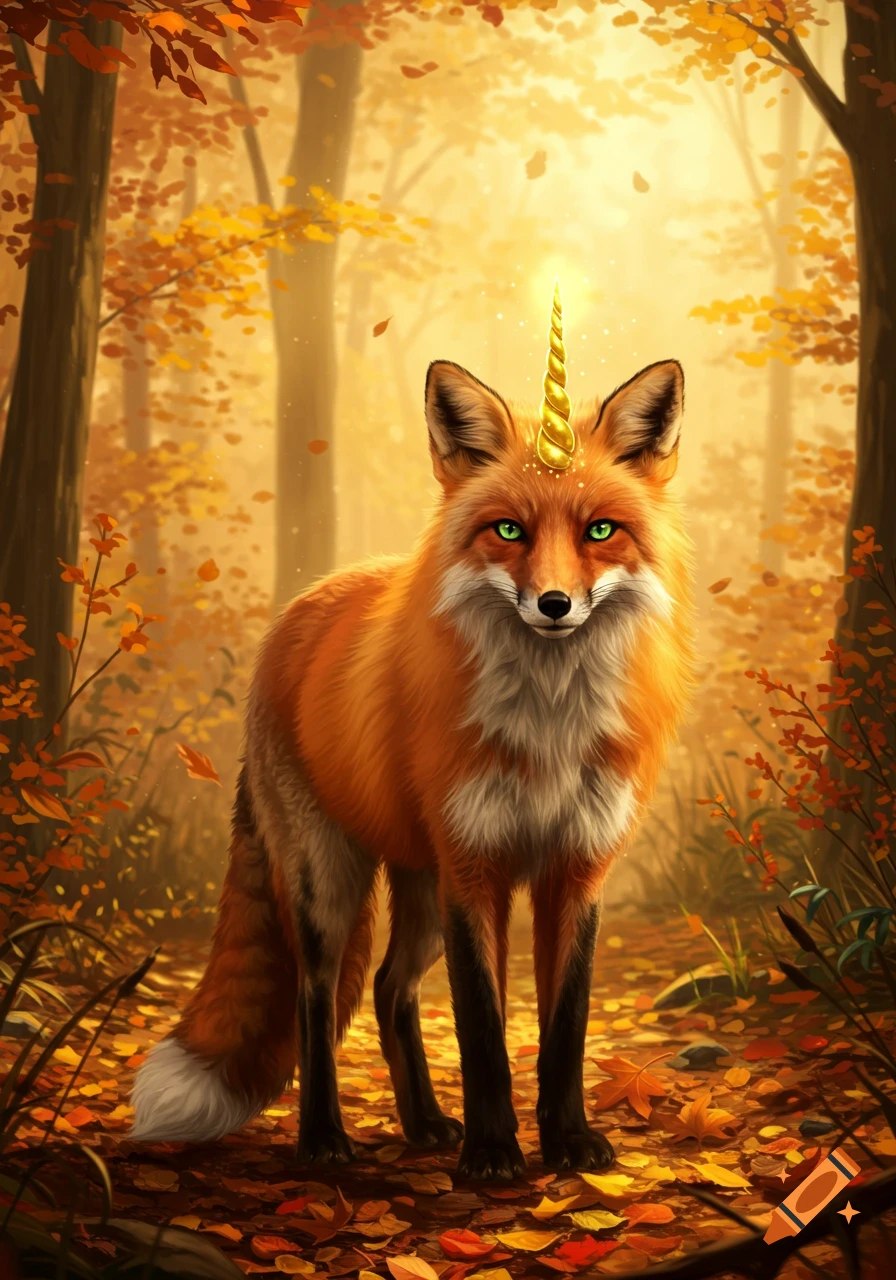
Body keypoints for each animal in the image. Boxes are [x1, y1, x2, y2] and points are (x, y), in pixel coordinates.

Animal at [131, 297, 694, 1180]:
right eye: (508, 531)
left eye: (601, 530)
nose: (556, 604)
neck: (548, 729)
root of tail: (302, 606)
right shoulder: (475, 869)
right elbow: (483, 1030)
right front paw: (494, 1154)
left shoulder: (575, 869)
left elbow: (562, 1029)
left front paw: (566, 1142)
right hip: (330, 881)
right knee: (317, 998)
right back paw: (324, 1139)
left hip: (419, 891)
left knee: (391, 990)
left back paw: (425, 1123)